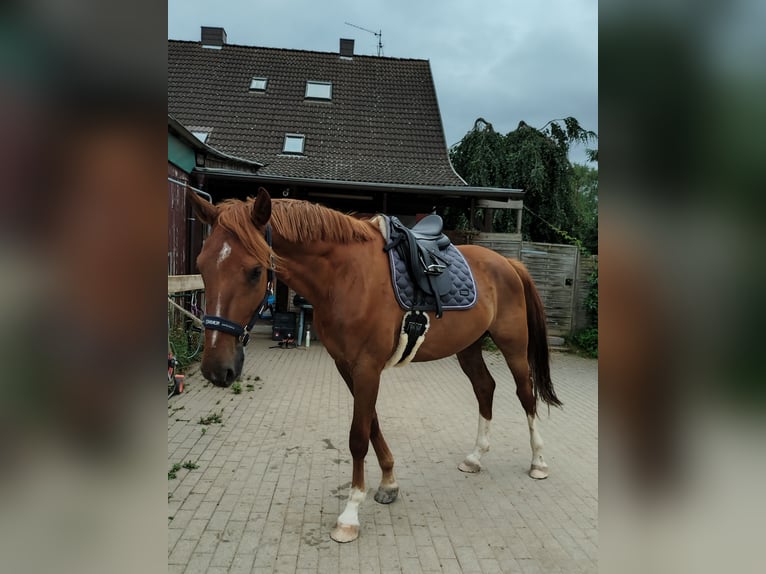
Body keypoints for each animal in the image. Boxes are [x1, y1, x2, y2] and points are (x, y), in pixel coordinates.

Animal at [188, 188, 564, 544]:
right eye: (202, 265)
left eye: (254, 272)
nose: (215, 369)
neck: (345, 276)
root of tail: (509, 263)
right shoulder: (347, 365)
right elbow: (372, 423)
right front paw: (388, 483)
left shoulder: (367, 367)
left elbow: (357, 436)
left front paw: (350, 514)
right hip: (468, 347)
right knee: (485, 388)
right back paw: (475, 457)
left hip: (513, 346)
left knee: (526, 394)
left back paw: (539, 461)